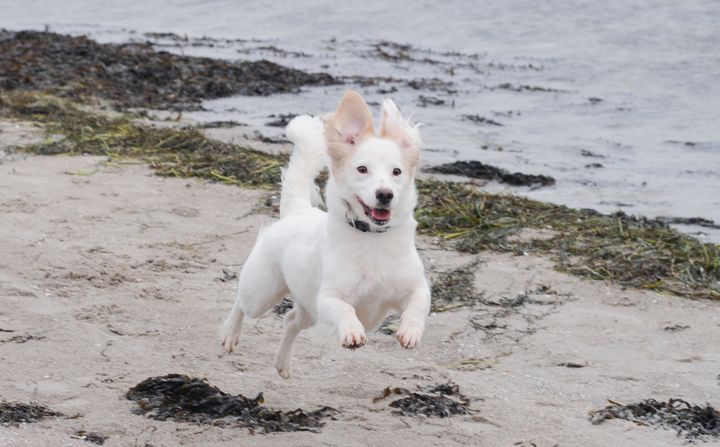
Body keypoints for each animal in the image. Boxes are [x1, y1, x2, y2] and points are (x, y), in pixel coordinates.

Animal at [219, 93, 430, 380]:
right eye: (362, 169)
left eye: (396, 172)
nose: (385, 194)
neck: (372, 239)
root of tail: (297, 211)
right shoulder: (328, 298)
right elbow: (346, 309)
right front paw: (352, 332)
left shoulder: (417, 287)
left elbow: (418, 306)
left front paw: (409, 332)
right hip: (263, 293)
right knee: (241, 301)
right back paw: (230, 334)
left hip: (308, 310)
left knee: (290, 320)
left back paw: (282, 363)